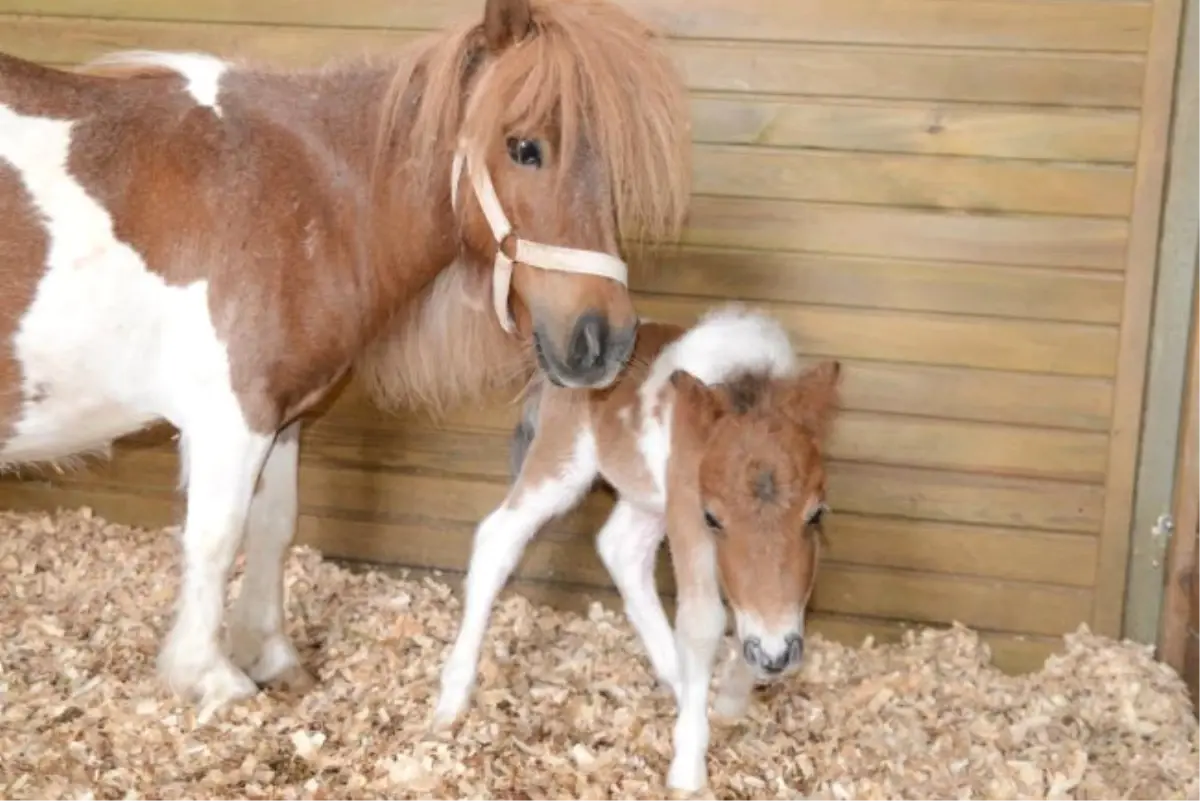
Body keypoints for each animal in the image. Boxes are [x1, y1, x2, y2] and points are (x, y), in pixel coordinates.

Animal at [0, 0, 691, 724]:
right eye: (525, 147)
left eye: (608, 160)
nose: (605, 340)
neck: (293, 190)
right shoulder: (231, 417)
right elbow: (216, 539)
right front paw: (212, 677)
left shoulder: (283, 416)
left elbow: (273, 527)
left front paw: (272, 657)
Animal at [434, 303, 844, 791]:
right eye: (713, 518)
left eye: (816, 514)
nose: (777, 655)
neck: (746, 380)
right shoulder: (686, 513)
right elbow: (703, 622)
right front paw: (688, 771)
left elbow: (776, 605)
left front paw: (732, 695)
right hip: (562, 462)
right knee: (498, 538)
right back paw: (452, 697)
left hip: (646, 499)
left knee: (619, 548)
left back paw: (678, 679)